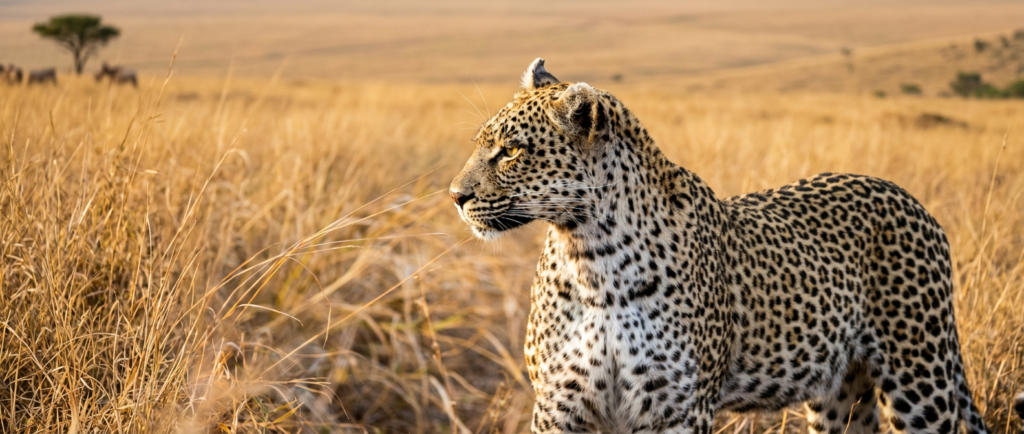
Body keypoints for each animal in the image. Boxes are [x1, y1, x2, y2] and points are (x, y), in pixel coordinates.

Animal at [449, 58, 1023, 434]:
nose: (456, 195)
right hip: (840, 393)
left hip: (919, 381)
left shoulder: (675, 410)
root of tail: (911, 200)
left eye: (511, 152)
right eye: (479, 144)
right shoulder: (559, 405)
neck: (593, 256)